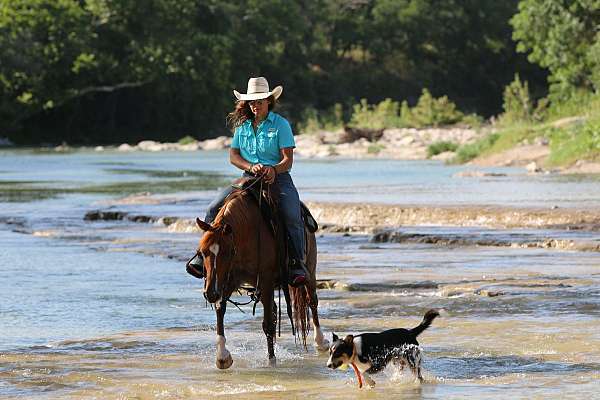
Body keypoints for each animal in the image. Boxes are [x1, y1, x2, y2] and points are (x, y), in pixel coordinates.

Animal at [193, 184, 328, 368]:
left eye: (228, 253)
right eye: (202, 252)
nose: (210, 294)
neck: (247, 234)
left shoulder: (265, 280)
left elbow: (268, 324)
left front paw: (272, 361)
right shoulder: (229, 280)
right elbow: (221, 309)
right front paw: (222, 357)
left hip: (310, 269)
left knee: (312, 301)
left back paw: (320, 342)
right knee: (275, 309)